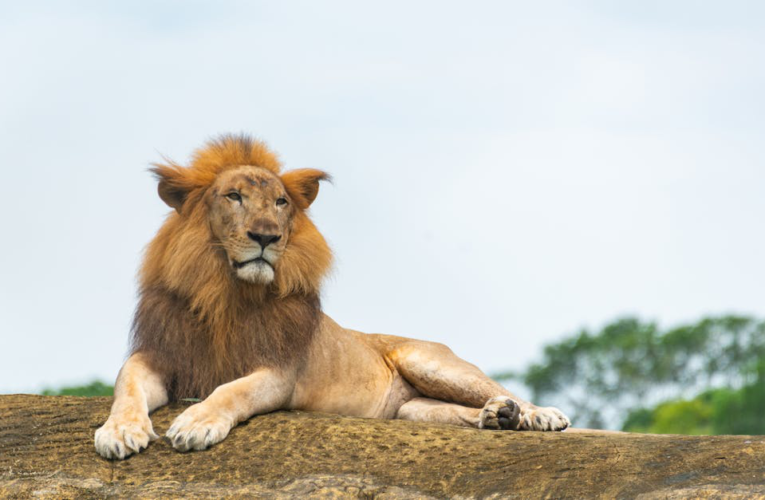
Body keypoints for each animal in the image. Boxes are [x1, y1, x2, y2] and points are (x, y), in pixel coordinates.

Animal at [94, 135, 568, 458]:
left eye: (281, 202)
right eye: (233, 196)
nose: (266, 237)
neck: (225, 292)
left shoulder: (279, 371)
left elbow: (232, 390)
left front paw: (196, 422)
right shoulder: (160, 355)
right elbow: (126, 384)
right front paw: (119, 431)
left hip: (428, 361)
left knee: (498, 388)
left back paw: (536, 414)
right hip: (411, 410)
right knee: (451, 411)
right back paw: (497, 416)